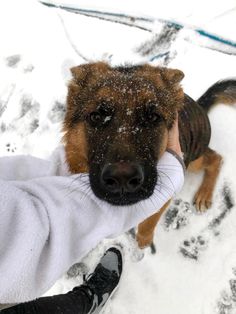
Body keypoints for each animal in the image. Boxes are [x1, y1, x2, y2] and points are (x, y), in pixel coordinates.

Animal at [62, 62, 236, 249]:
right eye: (96, 116)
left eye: (153, 117)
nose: (122, 178)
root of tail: (199, 106)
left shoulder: (166, 192)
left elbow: (150, 219)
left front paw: (144, 238)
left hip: (192, 160)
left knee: (216, 158)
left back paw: (204, 194)